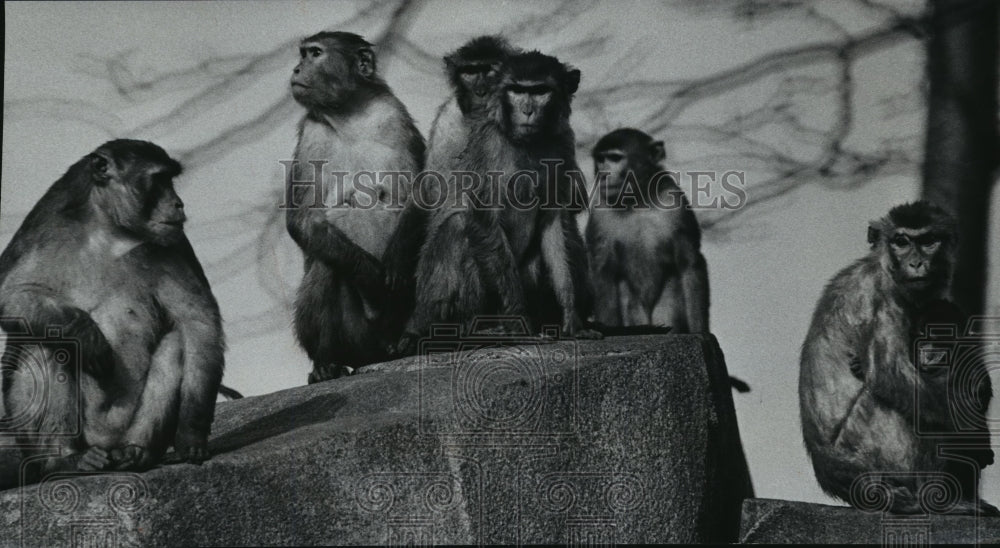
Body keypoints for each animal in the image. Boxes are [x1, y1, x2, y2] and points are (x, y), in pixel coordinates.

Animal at [0, 140, 225, 487]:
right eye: (159, 180)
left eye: (170, 180)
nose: (178, 203)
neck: (109, 229)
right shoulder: (46, 222)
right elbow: (10, 294)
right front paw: (85, 333)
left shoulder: (174, 242)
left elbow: (198, 324)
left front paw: (191, 433)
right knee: (43, 341)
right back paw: (63, 460)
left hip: (120, 427)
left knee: (176, 342)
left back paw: (136, 451)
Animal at [286, 31, 425, 383]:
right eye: (304, 54)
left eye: (315, 54)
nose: (296, 69)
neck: (349, 115)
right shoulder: (312, 133)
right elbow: (304, 220)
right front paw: (374, 281)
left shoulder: (393, 116)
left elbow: (423, 195)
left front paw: (395, 264)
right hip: (356, 338)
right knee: (327, 259)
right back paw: (326, 363)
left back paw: (412, 341)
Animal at [585, 128, 709, 333]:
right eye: (600, 159)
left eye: (615, 158)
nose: (602, 174)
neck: (638, 200)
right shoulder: (599, 211)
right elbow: (604, 271)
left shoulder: (676, 203)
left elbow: (689, 262)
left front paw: (700, 331)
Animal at [799, 201, 997, 516]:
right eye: (901, 242)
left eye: (928, 241)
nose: (916, 263)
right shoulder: (882, 298)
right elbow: (889, 376)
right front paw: (976, 435)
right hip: (876, 456)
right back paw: (940, 500)